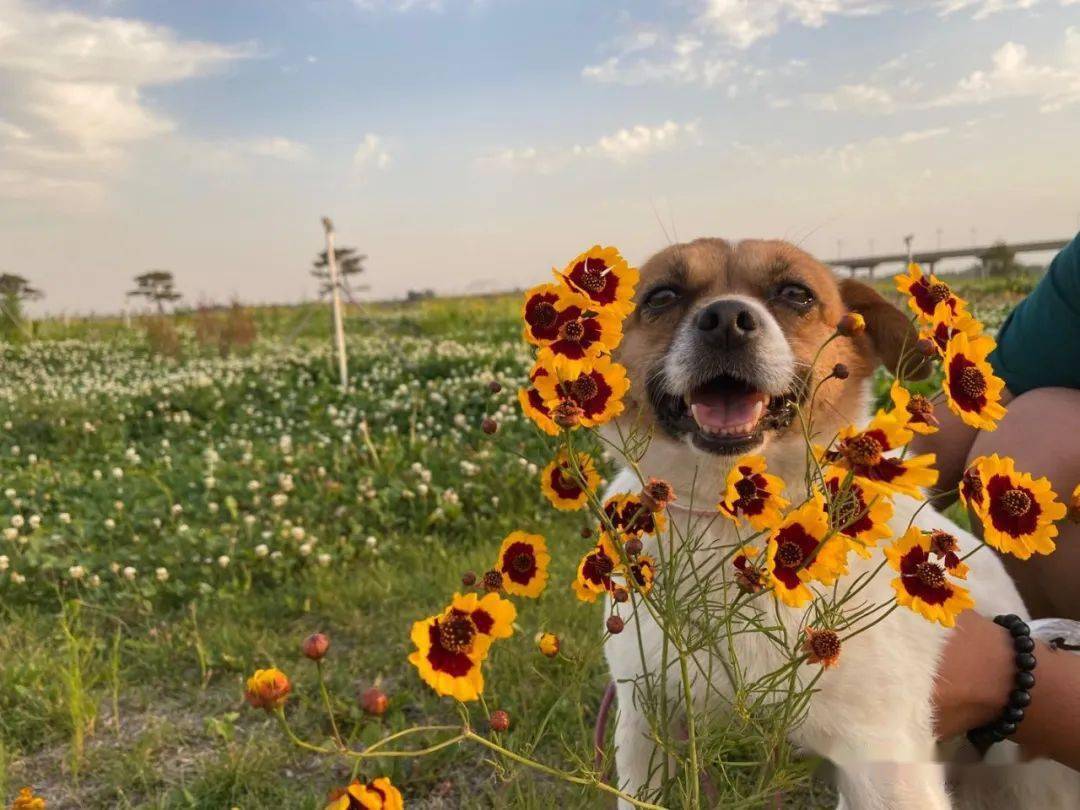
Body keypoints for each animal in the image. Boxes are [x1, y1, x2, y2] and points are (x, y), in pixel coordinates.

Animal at [604, 239, 1075, 810]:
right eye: (662, 295)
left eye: (796, 293)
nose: (725, 321)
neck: (734, 525)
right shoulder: (643, 725)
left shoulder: (885, 761)